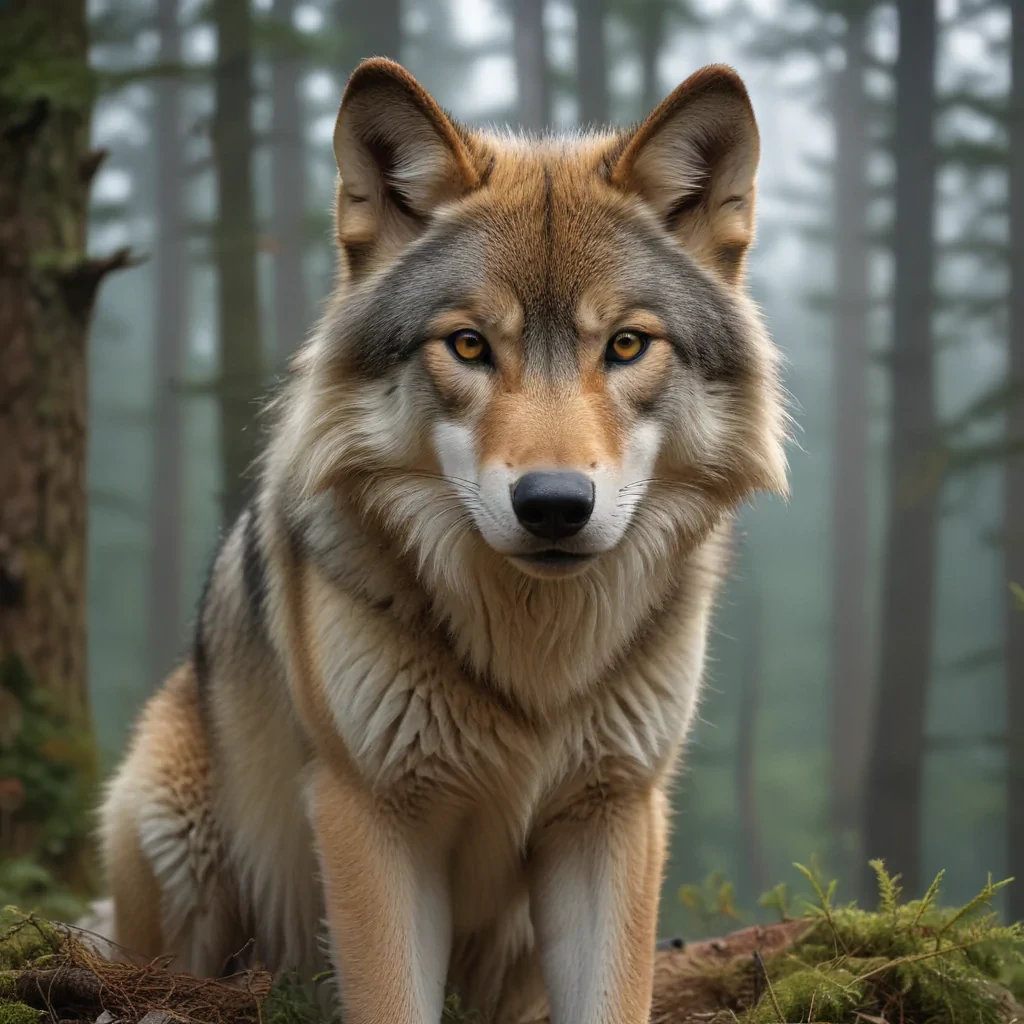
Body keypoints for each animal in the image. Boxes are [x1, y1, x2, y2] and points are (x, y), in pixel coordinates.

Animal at [98, 58, 788, 1024]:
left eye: (624, 345)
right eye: (467, 345)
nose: (553, 505)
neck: (534, 654)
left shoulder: (612, 812)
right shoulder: (373, 815)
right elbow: (391, 996)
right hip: (170, 825)